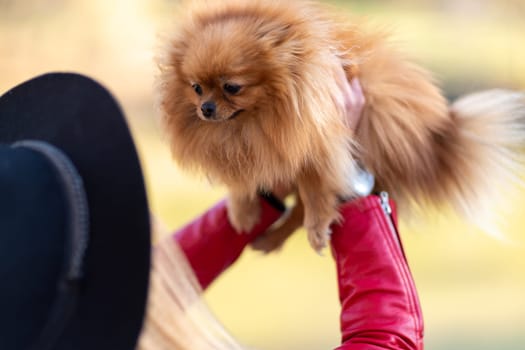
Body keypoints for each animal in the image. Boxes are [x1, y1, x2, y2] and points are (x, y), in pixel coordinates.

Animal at [158, 0, 524, 252]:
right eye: (196, 88)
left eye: (232, 87)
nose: (205, 108)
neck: (253, 122)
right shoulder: (258, 150)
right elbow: (243, 178)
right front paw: (242, 210)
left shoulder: (319, 144)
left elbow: (315, 192)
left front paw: (317, 229)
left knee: (305, 204)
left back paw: (276, 238)